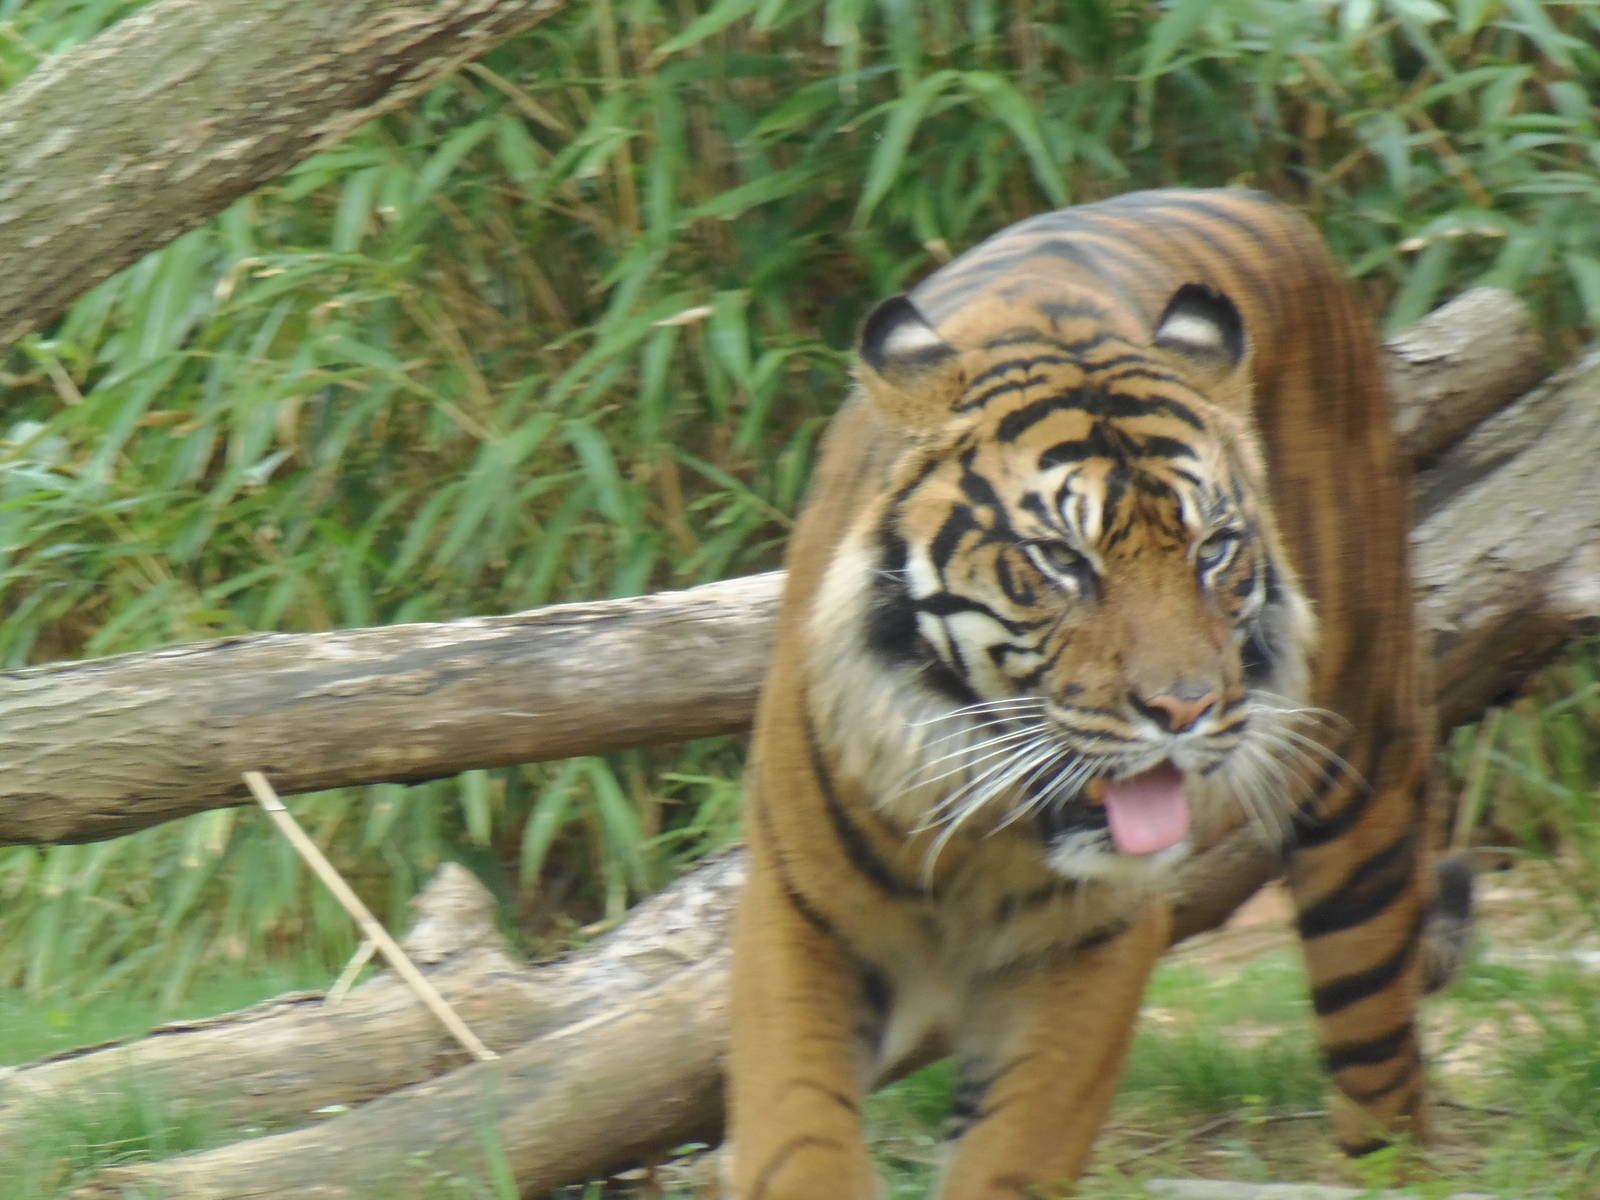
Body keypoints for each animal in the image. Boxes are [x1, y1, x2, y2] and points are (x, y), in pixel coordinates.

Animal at [725, 188, 1470, 1199]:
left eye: (1212, 550)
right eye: (1062, 561)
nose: (1184, 710)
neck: (986, 834)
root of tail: (1255, 198)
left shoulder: (1095, 937)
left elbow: (1014, 1149)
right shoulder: (800, 911)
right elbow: (795, 1131)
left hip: (1363, 793)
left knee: (1385, 1088)